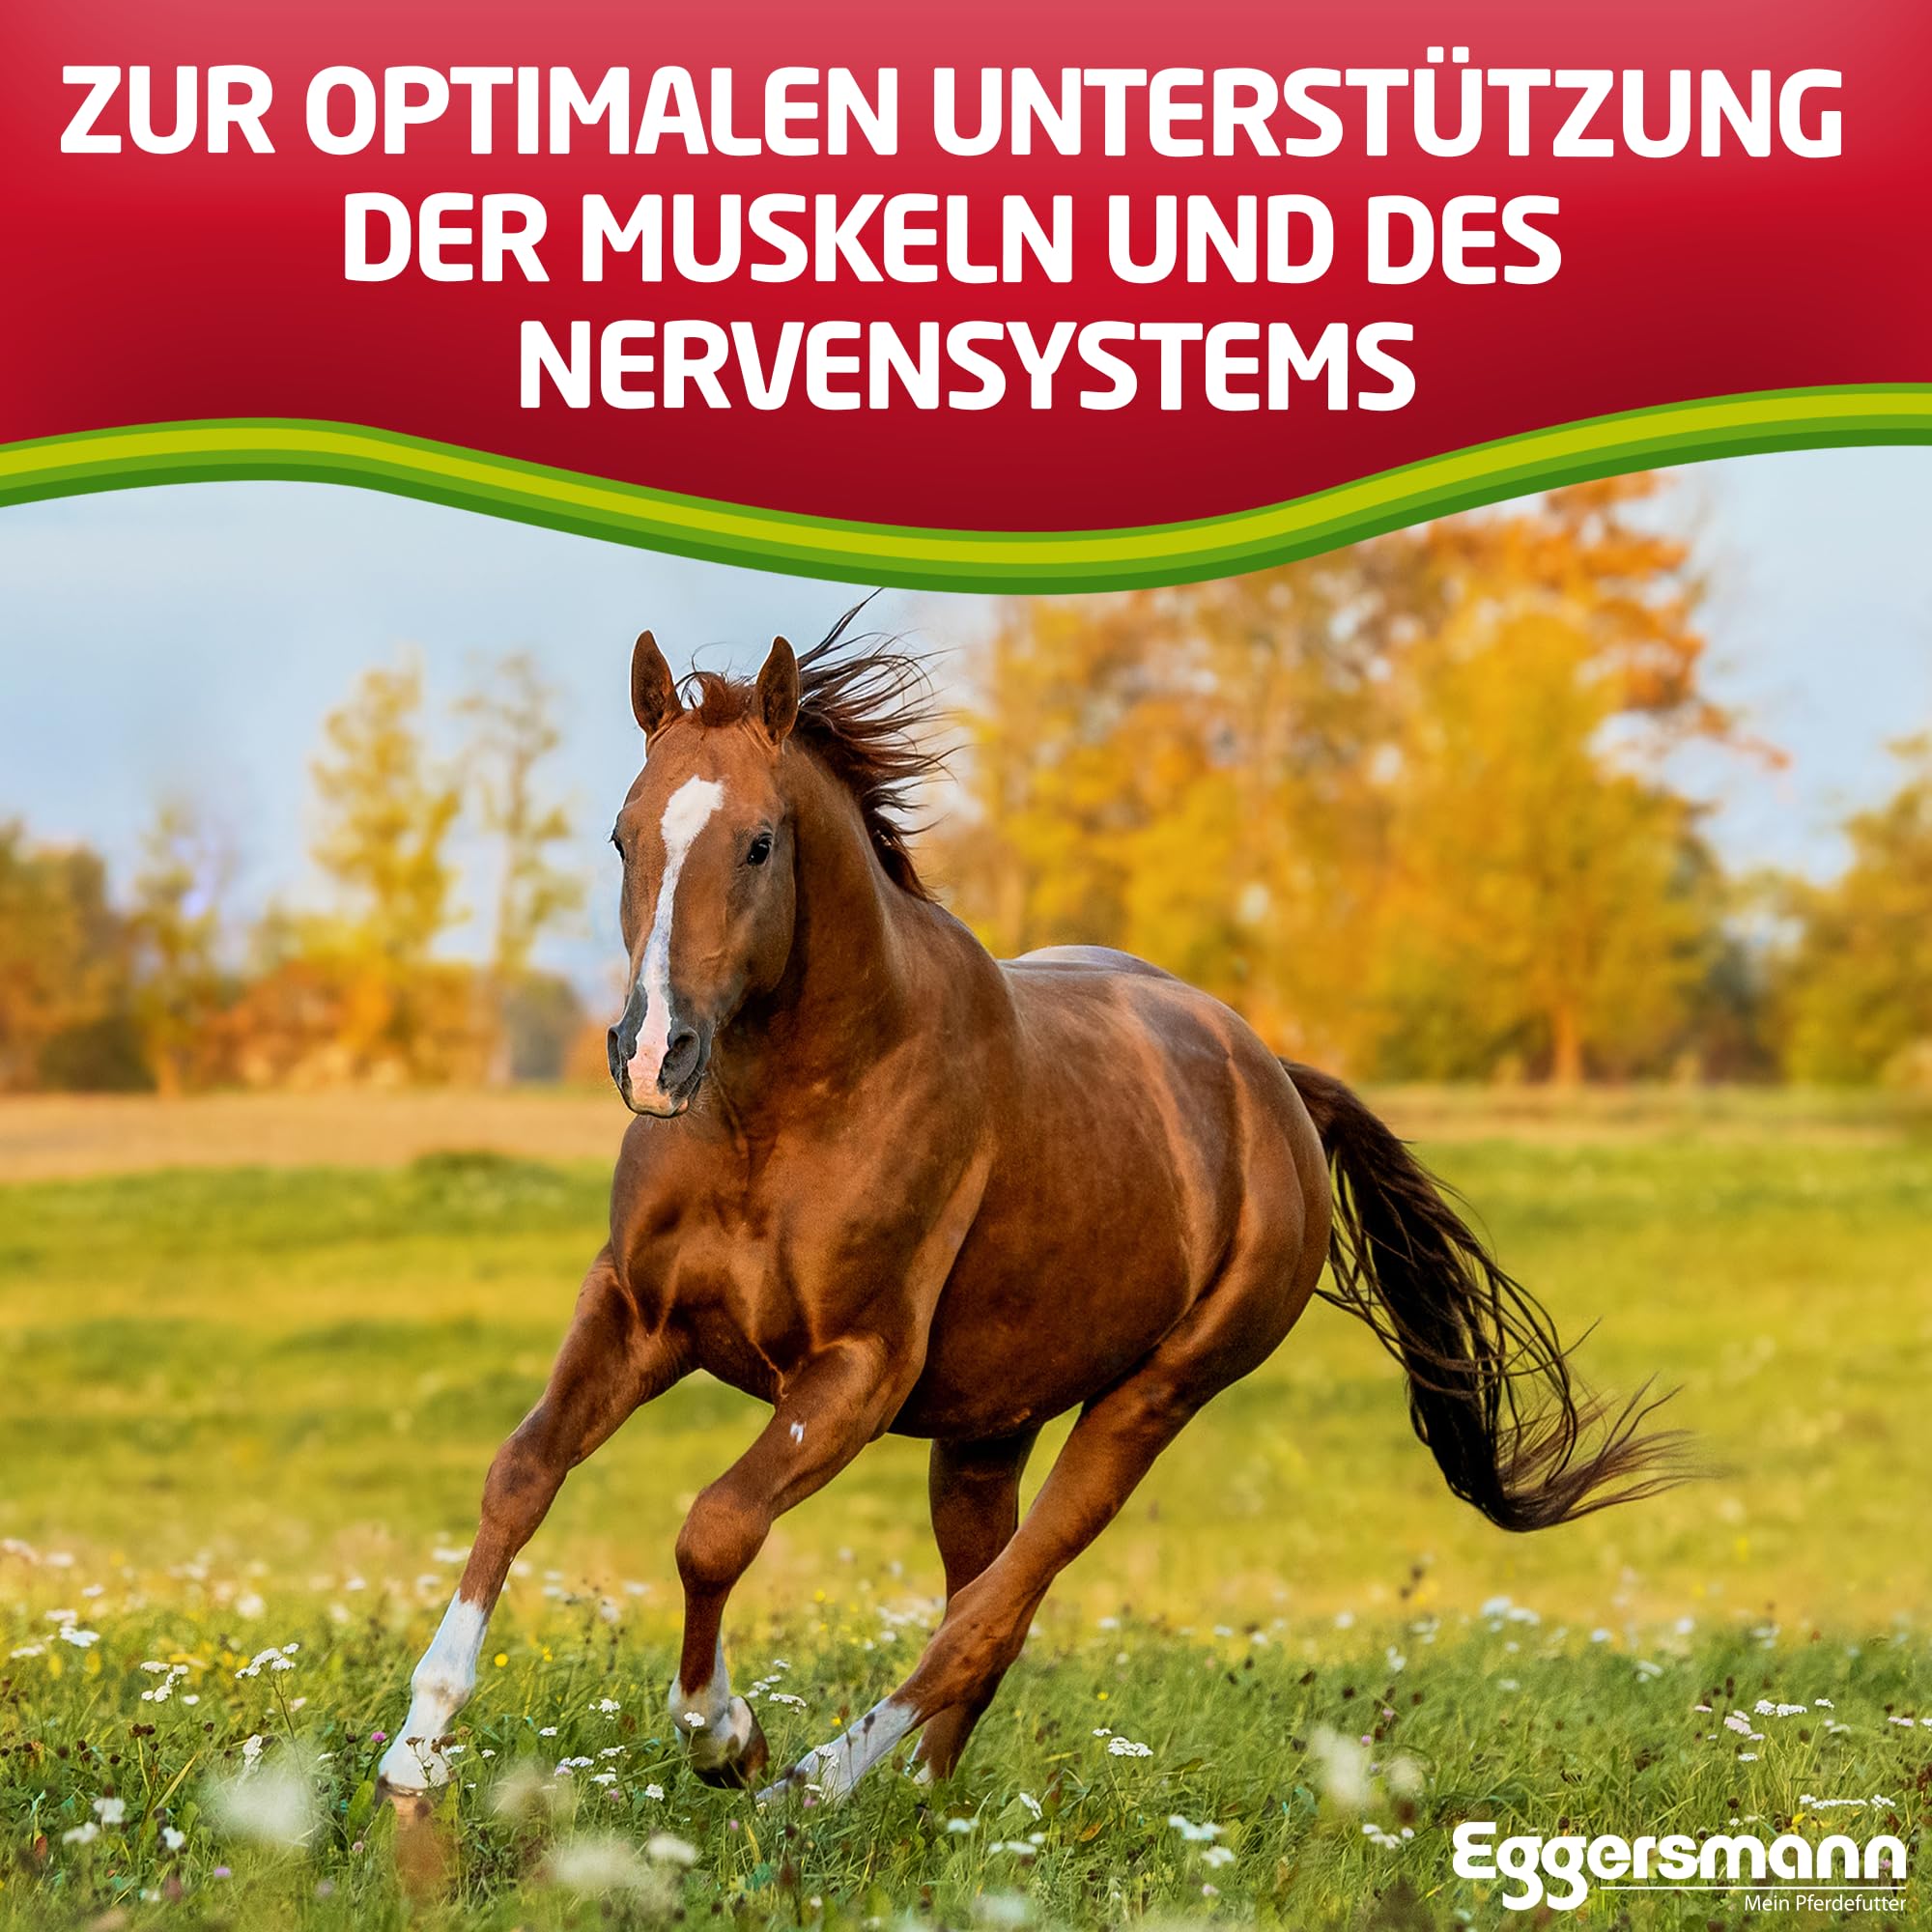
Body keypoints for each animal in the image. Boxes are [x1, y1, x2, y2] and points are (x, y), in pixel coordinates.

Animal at [376, 612, 1680, 1806]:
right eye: (622, 834)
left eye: (756, 842)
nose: (653, 1055)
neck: (781, 1115)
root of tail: (1275, 1083)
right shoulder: (637, 1313)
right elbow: (522, 1469)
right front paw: (417, 1748)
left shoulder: (854, 1371)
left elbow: (716, 1525)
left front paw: (725, 1735)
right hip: (985, 1429)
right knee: (980, 1601)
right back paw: (920, 1798)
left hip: (1148, 1402)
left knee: (992, 1611)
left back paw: (819, 1782)